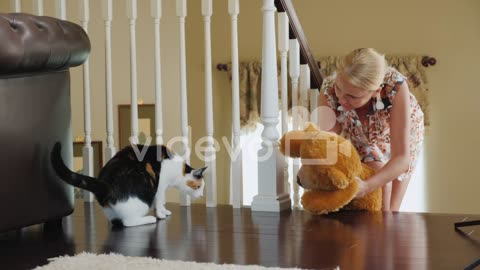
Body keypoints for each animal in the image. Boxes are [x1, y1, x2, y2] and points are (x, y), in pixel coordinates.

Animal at [50, 142, 206, 227]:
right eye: (198, 187)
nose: (201, 195)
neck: (178, 169)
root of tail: (104, 184)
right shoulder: (160, 186)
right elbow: (160, 201)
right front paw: (161, 214)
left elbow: (160, 203)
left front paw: (165, 212)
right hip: (142, 201)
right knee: (128, 222)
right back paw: (150, 219)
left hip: (112, 210)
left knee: (117, 221)